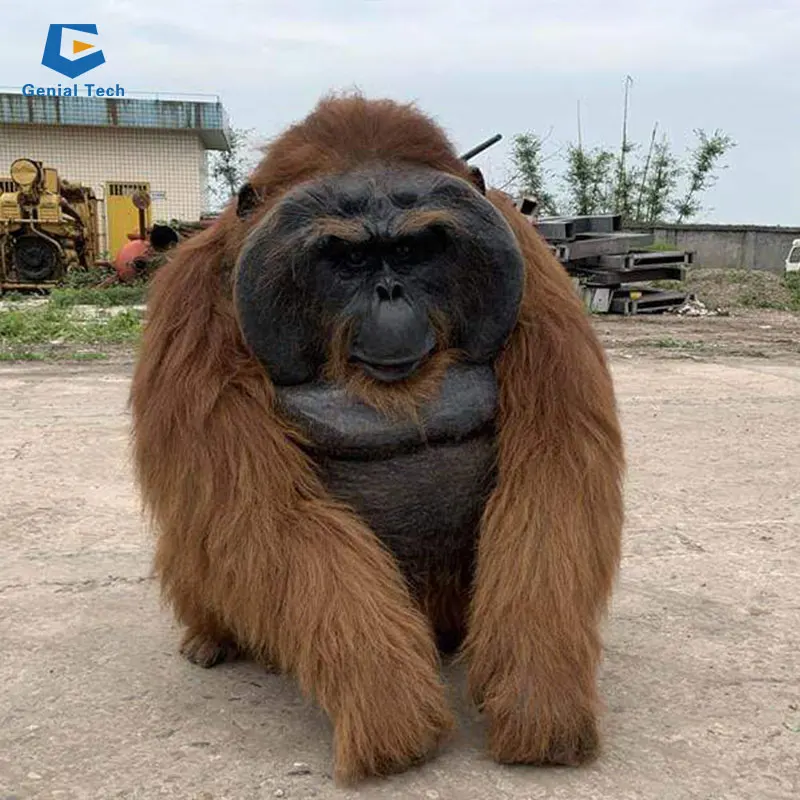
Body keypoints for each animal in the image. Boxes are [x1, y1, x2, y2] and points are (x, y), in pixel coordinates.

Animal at [129, 93, 625, 786]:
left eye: (416, 249)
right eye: (351, 260)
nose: (390, 292)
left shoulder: (539, 280)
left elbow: (555, 473)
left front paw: (538, 702)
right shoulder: (191, 309)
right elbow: (260, 511)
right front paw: (389, 712)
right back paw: (212, 637)